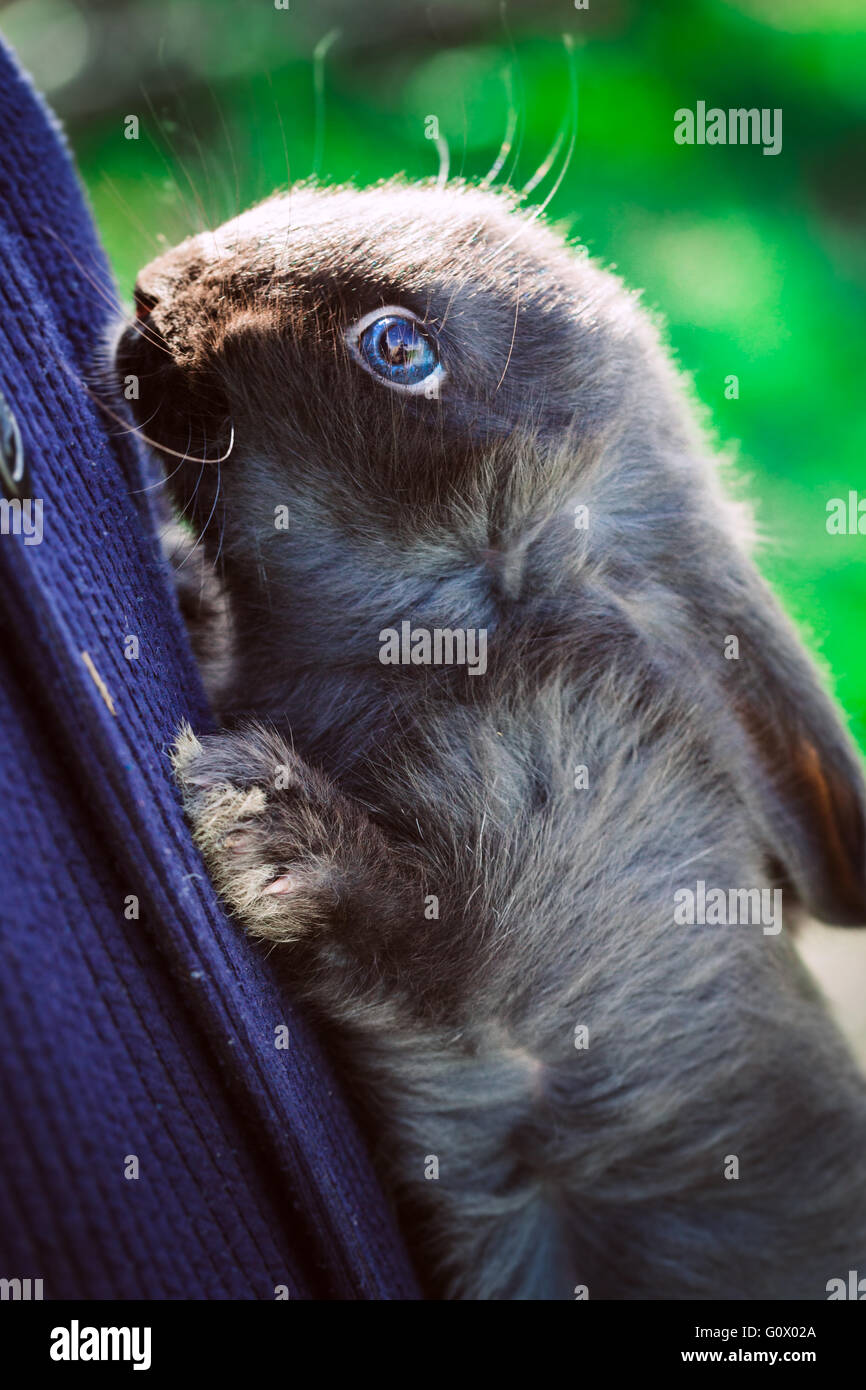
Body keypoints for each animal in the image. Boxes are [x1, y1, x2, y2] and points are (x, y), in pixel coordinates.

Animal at [113, 179, 866, 1295]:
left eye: (397, 348)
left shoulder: (529, 1024)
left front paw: (260, 813)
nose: (153, 293)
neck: (459, 639)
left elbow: (424, 944)